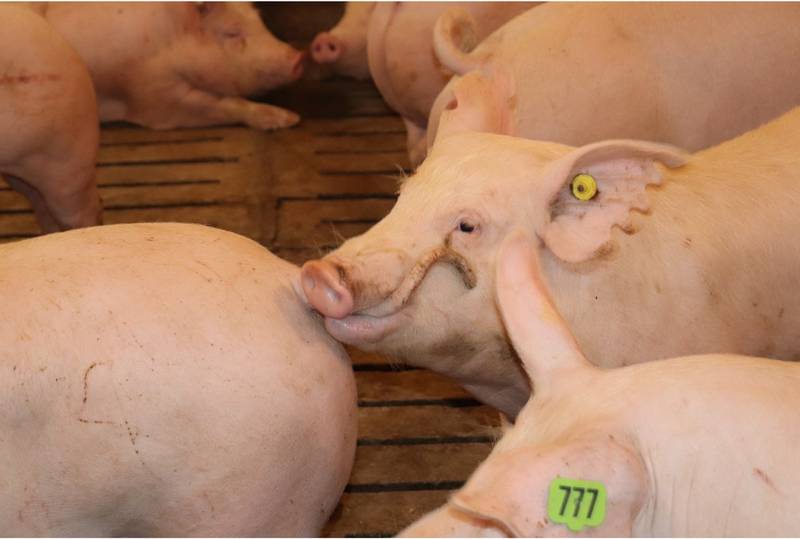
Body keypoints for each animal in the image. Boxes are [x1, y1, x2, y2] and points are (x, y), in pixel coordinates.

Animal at [44, 2, 306, 130]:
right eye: (231, 32)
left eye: (260, 19)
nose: (298, 57)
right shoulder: (154, 96)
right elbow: (224, 103)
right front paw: (290, 119)